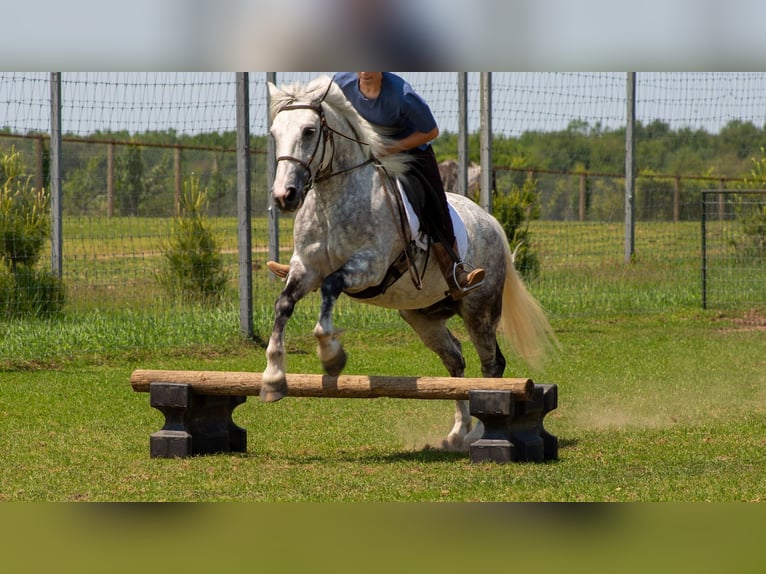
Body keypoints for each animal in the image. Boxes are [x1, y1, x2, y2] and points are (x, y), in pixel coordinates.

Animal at [262, 75, 556, 450]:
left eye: (309, 130)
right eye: (274, 133)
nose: (284, 196)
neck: (333, 200)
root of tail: (490, 221)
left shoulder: (369, 268)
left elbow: (331, 287)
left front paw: (331, 355)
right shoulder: (305, 268)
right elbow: (284, 304)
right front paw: (273, 379)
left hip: (479, 308)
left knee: (491, 364)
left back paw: (480, 431)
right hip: (422, 316)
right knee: (455, 360)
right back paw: (458, 432)